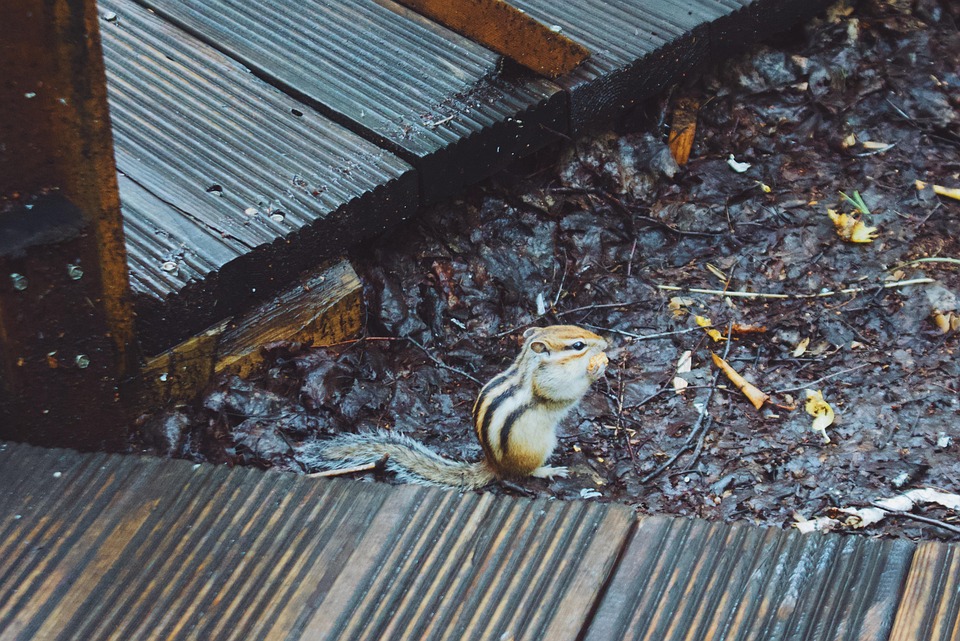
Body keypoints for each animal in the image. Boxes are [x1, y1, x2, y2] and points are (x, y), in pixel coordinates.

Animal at [313, 325, 609, 489]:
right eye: (578, 345)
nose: (606, 342)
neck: (531, 365)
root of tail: (493, 465)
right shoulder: (548, 384)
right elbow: (566, 395)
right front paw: (596, 371)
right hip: (540, 447)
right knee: (525, 472)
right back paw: (549, 470)